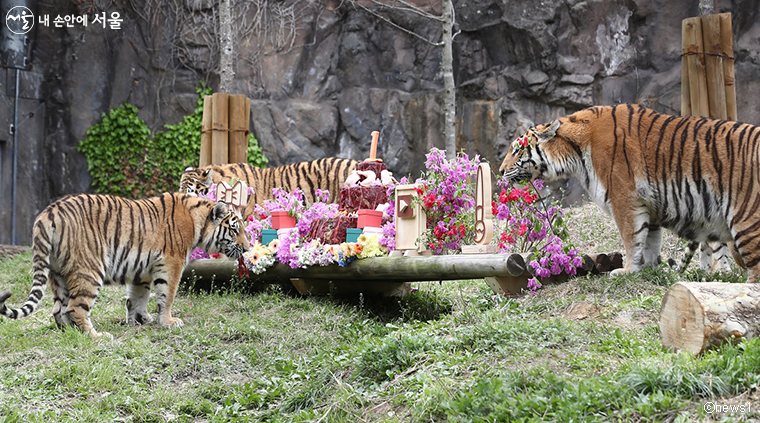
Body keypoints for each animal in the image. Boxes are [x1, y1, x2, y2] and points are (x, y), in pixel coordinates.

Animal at [0, 194, 249, 340]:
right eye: (235, 230)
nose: (247, 248)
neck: (198, 219)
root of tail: (48, 212)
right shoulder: (172, 262)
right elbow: (167, 295)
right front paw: (168, 322)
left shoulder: (143, 270)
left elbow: (138, 297)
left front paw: (140, 319)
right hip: (89, 269)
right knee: (74, 308)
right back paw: (96, 336)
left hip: (57, 273)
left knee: (58, 310)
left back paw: (70, 333)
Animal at [498, 102, 760, 282]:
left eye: (516, 150)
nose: (500, 171)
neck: (575, 150)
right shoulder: (650, 206)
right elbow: (650, 242)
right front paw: (649, 269)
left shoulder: (624, 199)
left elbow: (631, 238)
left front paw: (627, 271)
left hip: (747, 219)